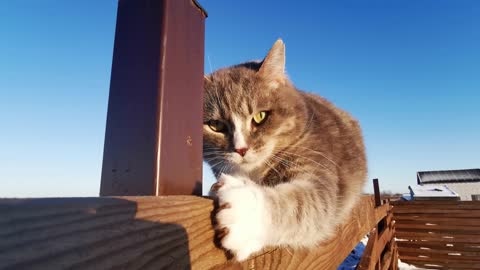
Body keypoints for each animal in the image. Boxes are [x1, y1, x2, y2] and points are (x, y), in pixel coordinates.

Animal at [203, 40, 368, 262]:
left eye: (260, 116)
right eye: (216, 125)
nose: (241, 148)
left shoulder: (317, 162)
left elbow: (306, 204)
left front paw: (243, 214)